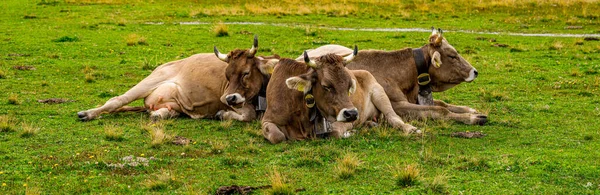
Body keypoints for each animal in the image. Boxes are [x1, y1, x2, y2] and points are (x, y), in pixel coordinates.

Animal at [76, 36, 278, 122]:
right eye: (226, 75)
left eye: (246, 72)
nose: (229, 98)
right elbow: (248, 115)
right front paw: (223, 113)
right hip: (151, 81)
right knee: (116, 100)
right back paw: (87, 113)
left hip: (174, 105)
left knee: (163, 112)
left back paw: (158, 114)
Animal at [262, 47, 418, 144]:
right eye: (326, 86)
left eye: (349, 86)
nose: (352, 113)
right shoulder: (267, 120)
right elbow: (277, 136)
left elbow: (335, 132)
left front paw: (351, 132)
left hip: (380, 94)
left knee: (394, 117)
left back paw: (410, 129)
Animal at [298, 27, 490, 125]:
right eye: (452, 55)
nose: (475, 71)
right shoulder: (398, 106)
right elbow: (439, 110)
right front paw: (472, 118)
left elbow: (443, 104)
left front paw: (469, 110)